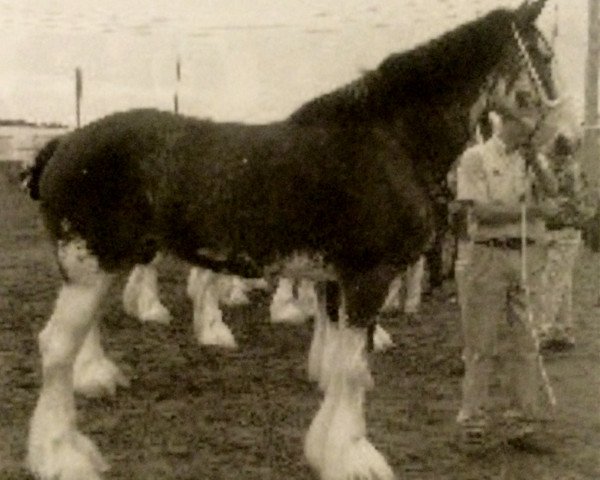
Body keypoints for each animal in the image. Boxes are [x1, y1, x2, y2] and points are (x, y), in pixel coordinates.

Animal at [24, 1, 580, 478]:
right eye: (544, 56)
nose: (568, 141)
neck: (389, 141)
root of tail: (63, 143)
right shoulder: (368, 279)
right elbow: (353, 369)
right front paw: (355, 458)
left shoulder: (336, 280)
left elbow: (338, 364)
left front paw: (325, 450)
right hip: (89, 269)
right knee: (55, 348)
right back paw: (61, 456)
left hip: (101, 268)